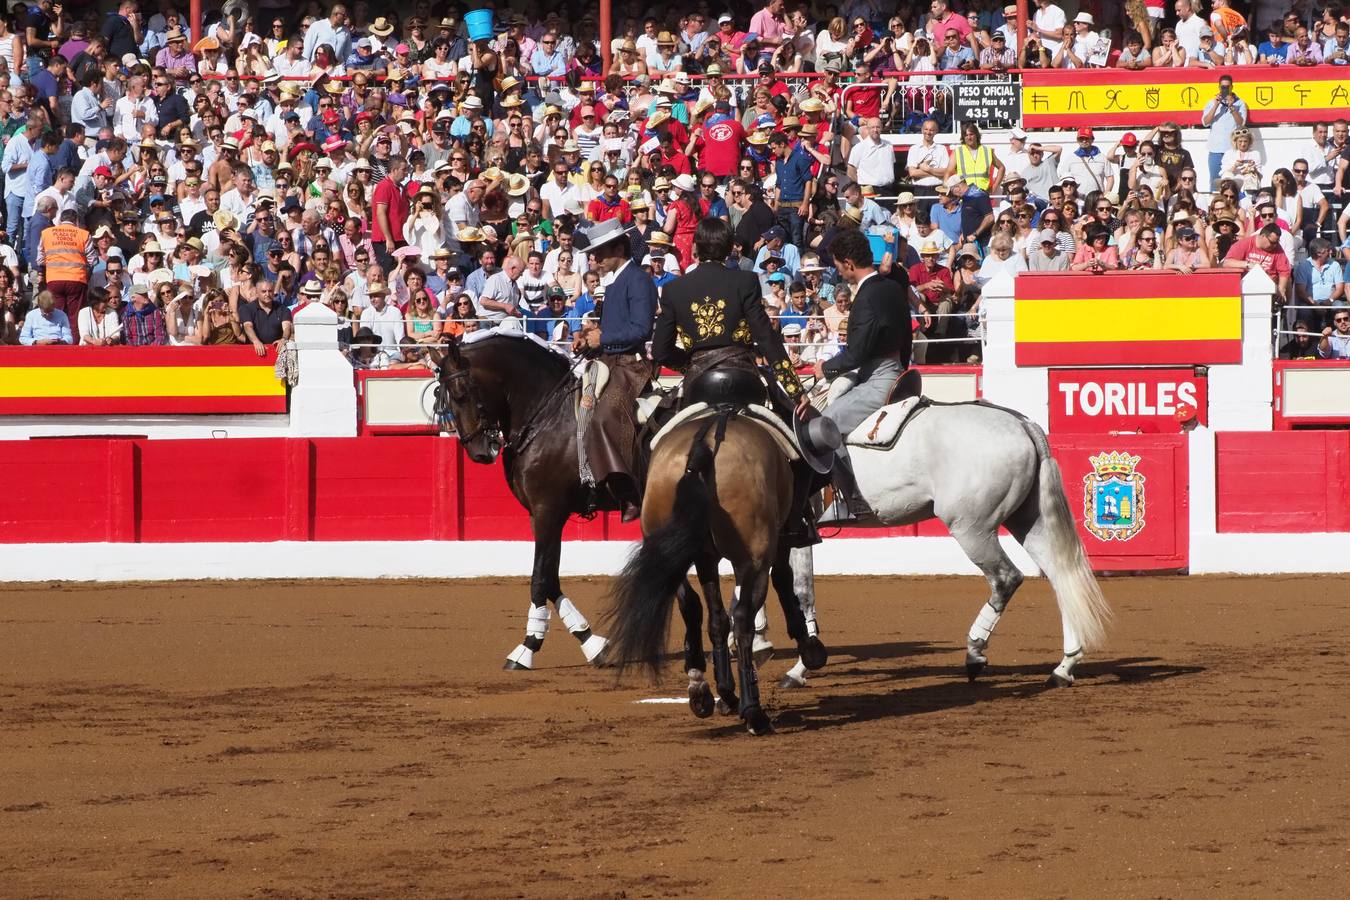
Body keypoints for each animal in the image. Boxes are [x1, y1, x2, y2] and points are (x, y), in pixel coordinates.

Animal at [783, 396, 1107, 685]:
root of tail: (1021, 423)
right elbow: (801, 593)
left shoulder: (795, 536)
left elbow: (802, 595)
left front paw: (801, 666)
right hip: (1029, 520)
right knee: (1061, 575)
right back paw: (1063, 667)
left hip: (971, 529)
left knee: (1006, 578)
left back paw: (975, 652)